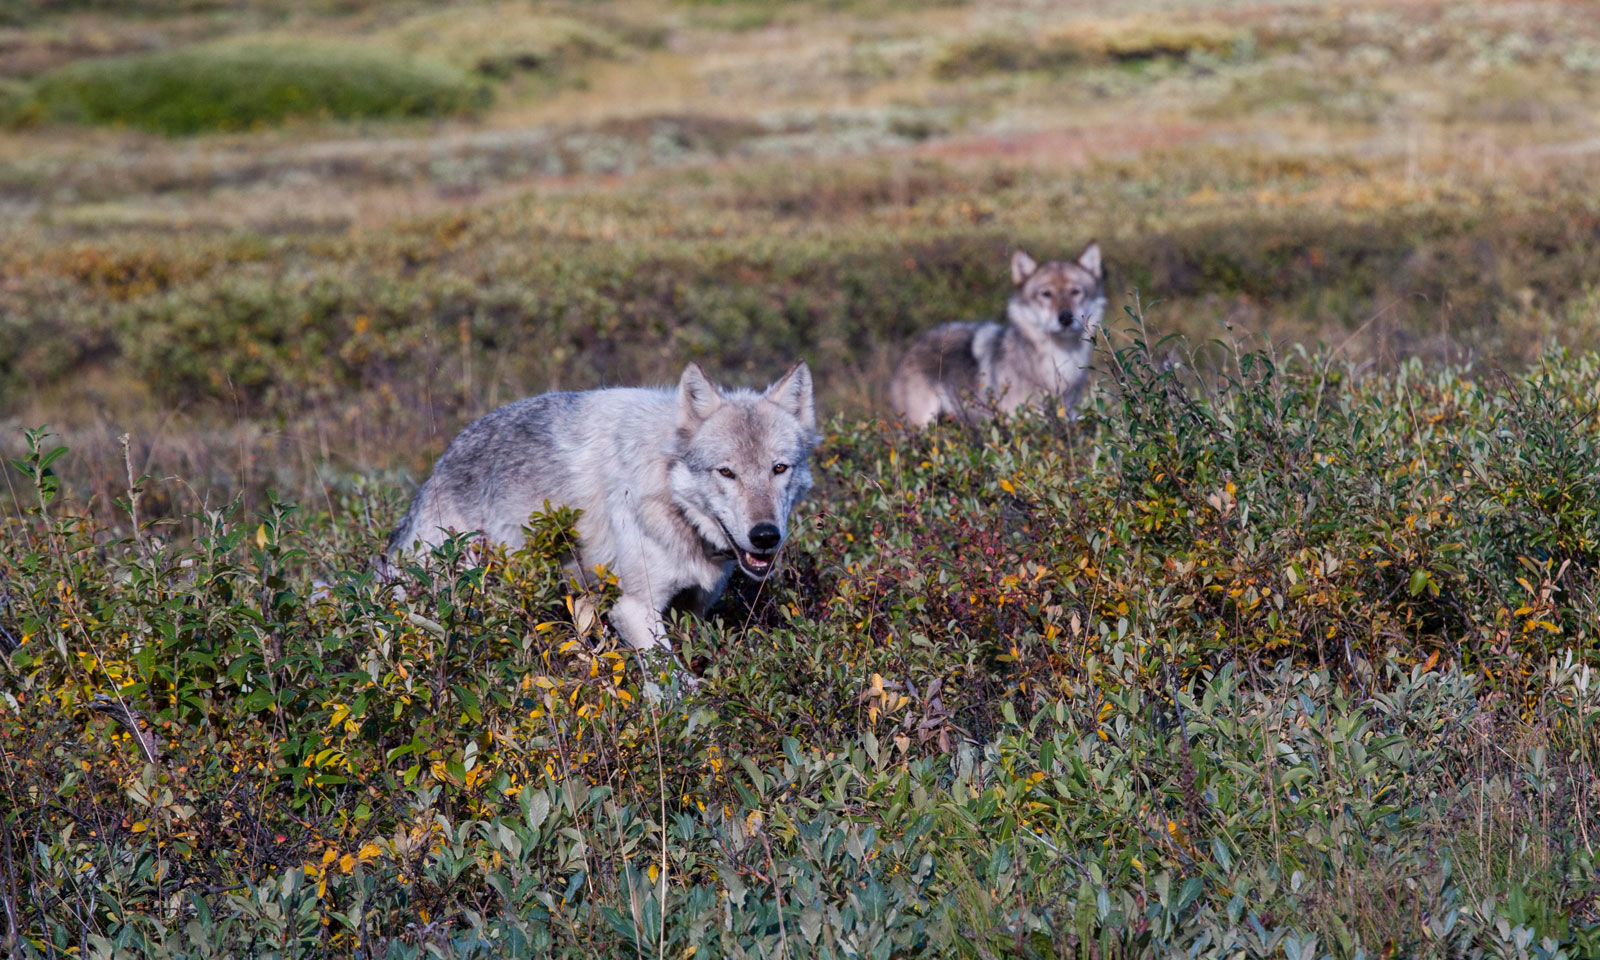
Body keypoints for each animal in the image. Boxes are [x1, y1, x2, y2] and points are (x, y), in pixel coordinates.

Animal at [384, 363, 812, 649]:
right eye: (726, 472)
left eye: (778, 468)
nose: (765, 536)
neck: (670, 499)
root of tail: (438, 468)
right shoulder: (635, 608)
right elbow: (675, 686)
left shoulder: (694, 607)